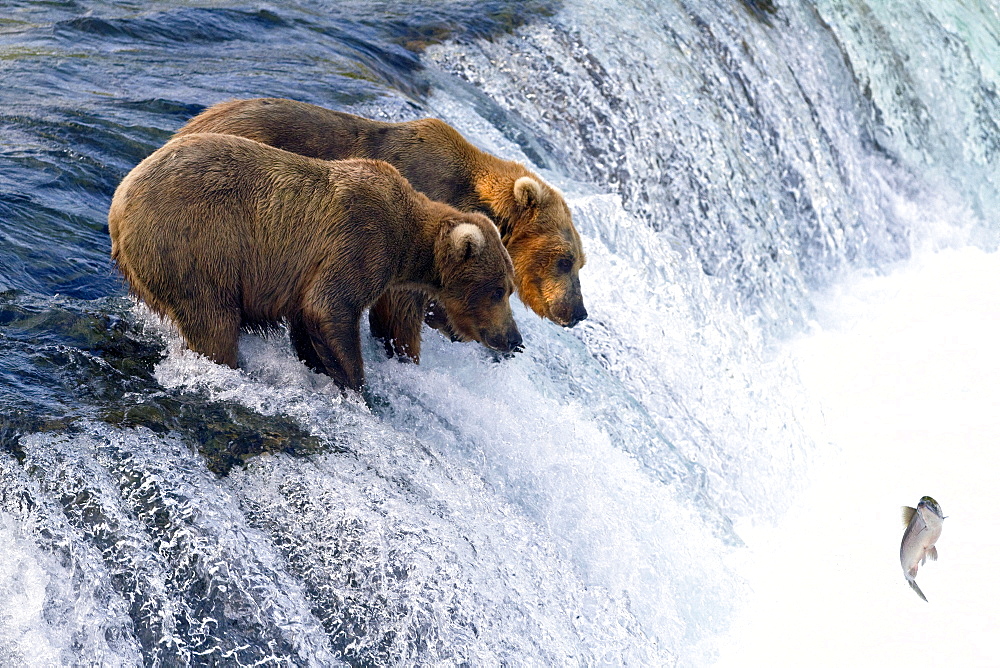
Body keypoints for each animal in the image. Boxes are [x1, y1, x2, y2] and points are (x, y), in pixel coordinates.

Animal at [107, 132, 524, 392]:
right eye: (499, 290)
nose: (514, 340)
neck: (408, 239)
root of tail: (119, 201)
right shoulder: (359, 240)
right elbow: (330, 307)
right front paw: (357, 384)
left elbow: (307, 324)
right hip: (196, 245)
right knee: (212, 322)